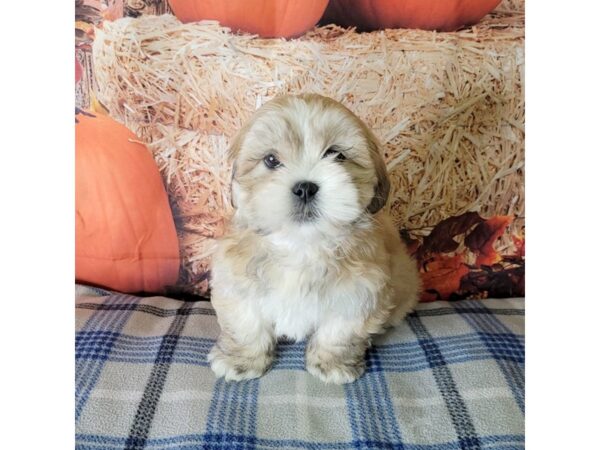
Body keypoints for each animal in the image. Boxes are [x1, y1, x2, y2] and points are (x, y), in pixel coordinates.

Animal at [209, 94, 420, 384]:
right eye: (271, 160)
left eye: (337, 155)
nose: (305, 188)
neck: (301, 245)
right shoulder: (236, 281)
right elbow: (246, 323)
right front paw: (240, 360)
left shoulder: (359, 292)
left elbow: (340, 331)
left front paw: (332, 364)